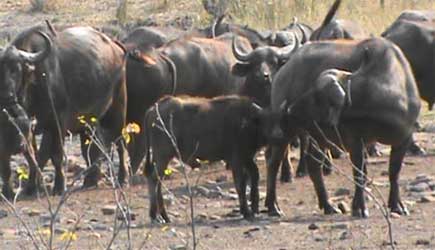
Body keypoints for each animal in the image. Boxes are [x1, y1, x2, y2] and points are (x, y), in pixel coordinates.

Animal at [145, 94, 268, 222]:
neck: (248, 122)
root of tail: (153, 109)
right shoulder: (237, 160)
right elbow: (241, 185)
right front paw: (246, 211)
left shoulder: (247, 158)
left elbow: (255, 175)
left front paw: (254, 206)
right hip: (162, 156)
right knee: (154, 179)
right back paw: (157, 215)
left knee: (155, 179)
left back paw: (161, 215)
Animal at [266, 36, 422, 217]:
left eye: (316, 96)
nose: (290, 109)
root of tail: (282, 72)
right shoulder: (355, 142)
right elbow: (360, 174)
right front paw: (359, 208)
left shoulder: (404, 139)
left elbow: (394, 172)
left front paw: (397, 205)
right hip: (285, 132)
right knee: (273, 164)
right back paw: (273, 206)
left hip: (319, 137)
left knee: (314, 165)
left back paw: (327, 205)